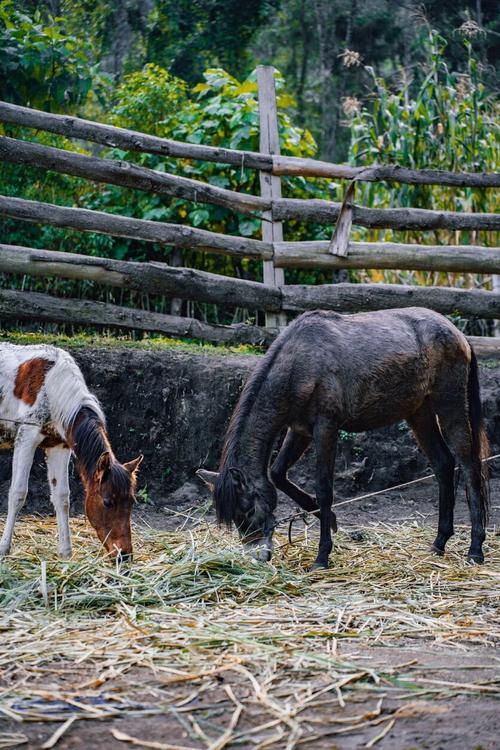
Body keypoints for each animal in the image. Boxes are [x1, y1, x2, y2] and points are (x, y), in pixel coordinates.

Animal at [0, 343, 142, 560]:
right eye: (107, 502)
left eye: (132, 501)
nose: (124, 555)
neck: (52, 385)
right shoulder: (26, 438)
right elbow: (18, 493)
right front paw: (4, 547)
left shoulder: (59, 446)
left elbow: (62, 497)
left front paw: (66, 552)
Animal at [197, 308, 490, 569]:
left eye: (247, 510)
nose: (259, 556)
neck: (300, 363)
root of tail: (458, 335)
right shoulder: (299, 430)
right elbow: (278, 473)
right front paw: (327, 517)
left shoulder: (326, 427)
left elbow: (324, 488)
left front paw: (322, 556)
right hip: (420, 412)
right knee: (443, 464)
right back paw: (439, 542)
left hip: (448, 404)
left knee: (468, 464)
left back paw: (475, 549)